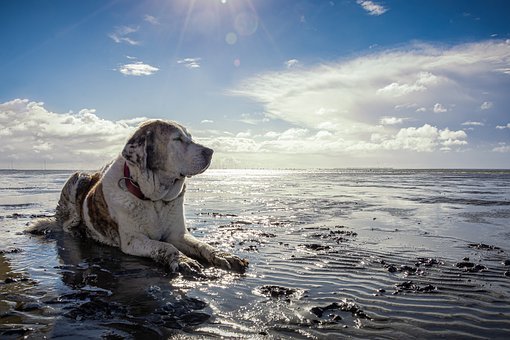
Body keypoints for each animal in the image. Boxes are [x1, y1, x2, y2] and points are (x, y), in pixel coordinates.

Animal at [34, 121, 249, 274]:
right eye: (178, 139)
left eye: (190, 137)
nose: (210, 151)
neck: (154, 199)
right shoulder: (133, 240)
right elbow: (166, 246)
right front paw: (183, 260)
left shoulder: (178, 234)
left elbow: (202, 245)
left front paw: (224, 255)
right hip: (79, 177)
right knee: (65, 224)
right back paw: (79, 231)